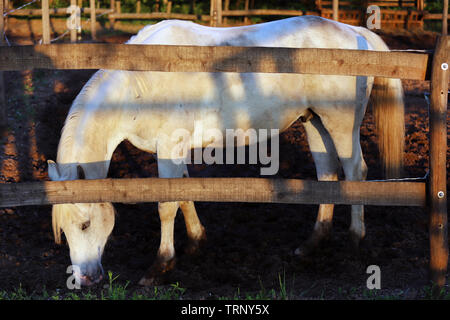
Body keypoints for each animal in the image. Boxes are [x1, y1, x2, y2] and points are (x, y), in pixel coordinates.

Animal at [48, 16, 404, 286]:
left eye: (84, 224)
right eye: (63, 230)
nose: (84, 280)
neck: (139, 85)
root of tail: (355, 33)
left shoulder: (169, 147)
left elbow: (166, 206)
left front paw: (160, 266)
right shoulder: (175, 150)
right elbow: (183, 193)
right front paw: (196, 242)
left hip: (341, 124)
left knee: (355, 172)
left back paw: (355, 240)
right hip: (314, 122)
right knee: (327, 174)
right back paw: (312, 244)